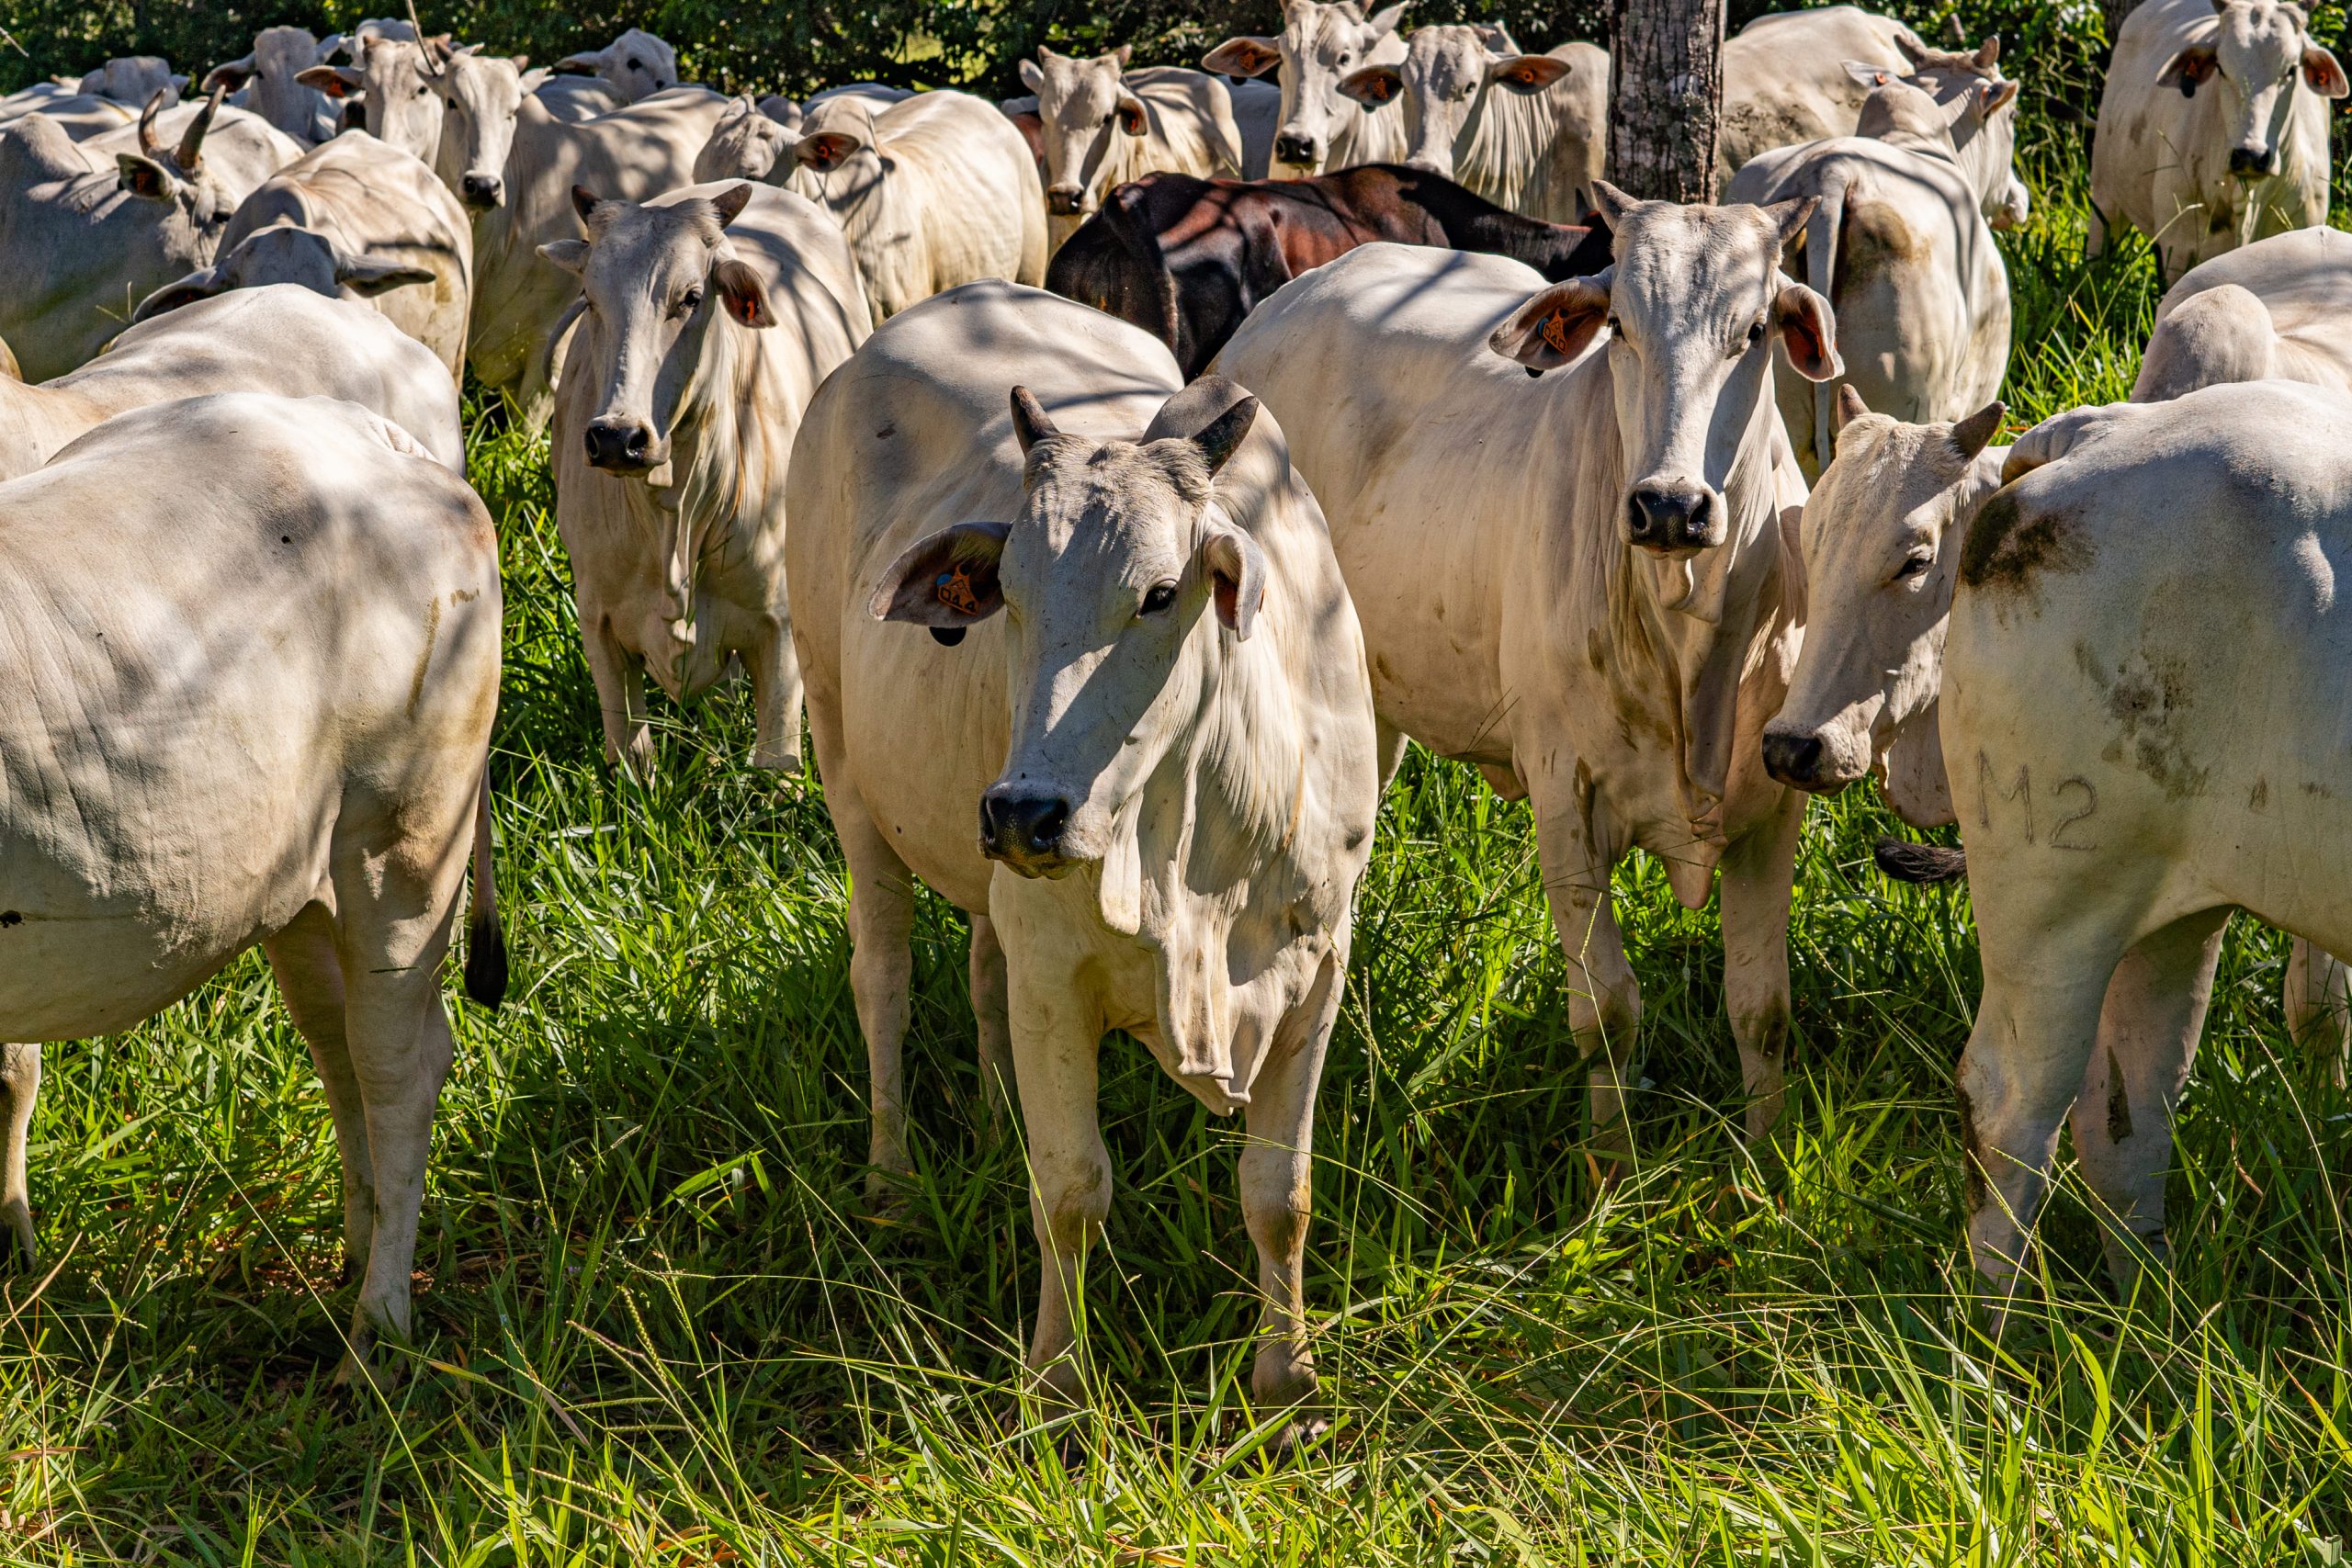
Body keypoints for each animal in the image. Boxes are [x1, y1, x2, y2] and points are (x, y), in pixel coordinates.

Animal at [0, 389, 502, 1383]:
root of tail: (379, 438)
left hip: (407, 842)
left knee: (399, 1067)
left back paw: (376, 1329)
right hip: (300, 889)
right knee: (338, 1047)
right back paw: (355, 1255)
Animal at [542, 181, 866, 774]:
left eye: (692, 297)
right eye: (590, 299)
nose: (617, 437)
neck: (674, 513)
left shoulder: (780, 631)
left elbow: (777, 764)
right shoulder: (599, 624)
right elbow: (630, 760)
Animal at [785, 278, 1379, 1417]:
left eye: (1159, 593)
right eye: (1008, 595)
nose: (1024, 812)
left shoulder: (1316, 966)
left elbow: (1277, 1193)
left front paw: (1287, 1384)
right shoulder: (1057, 978)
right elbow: (1068, 1191)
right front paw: (1057, 1390)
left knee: (980, 970)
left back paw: (987, 1117)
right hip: (842, 761)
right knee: (882, 978)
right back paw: (892, 1180)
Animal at [1218, 185, 1839, 1152]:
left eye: (1753, 330)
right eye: (1619, 325)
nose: (1670, 506)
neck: (1687, 641)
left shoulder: (1773, 812)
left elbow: (1761, 1009)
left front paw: (1760, 1157)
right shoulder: (1566, 802)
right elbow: (1608, 1014)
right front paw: (1612, 1169)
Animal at [1845, 382, 2352, 1308]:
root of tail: (2092, 435)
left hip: (2171, 901)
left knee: (2128, 1108)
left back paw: (2152, 1312)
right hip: (2052, 900)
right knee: (2012, 1107)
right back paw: (2004, 1333)